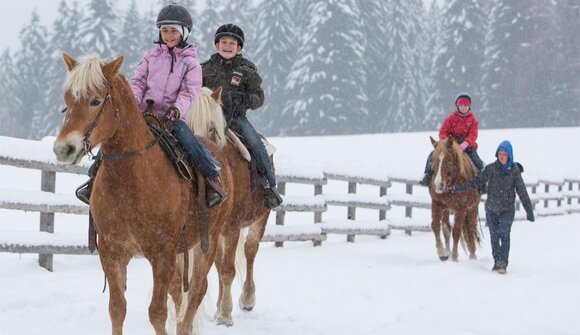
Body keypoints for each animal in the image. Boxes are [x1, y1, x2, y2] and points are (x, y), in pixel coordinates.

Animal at [53, 53, 234, 334]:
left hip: (210, 240)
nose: (64, 149)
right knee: (181, 292)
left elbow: (157, 313)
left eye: (95, 100)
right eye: (68, 100)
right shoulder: (112, 252)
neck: (131, 180)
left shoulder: (162, 255)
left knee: (196, 290)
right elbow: (117, 309)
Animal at [188, 87, 274, 328]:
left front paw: (226, 315)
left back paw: (247, 298)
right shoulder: (213, 232)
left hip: (260, 219)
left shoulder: (233, 227)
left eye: (211, 127)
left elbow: (228, 270)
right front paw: (221, 311)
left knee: (250, 251)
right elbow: (220, 268)